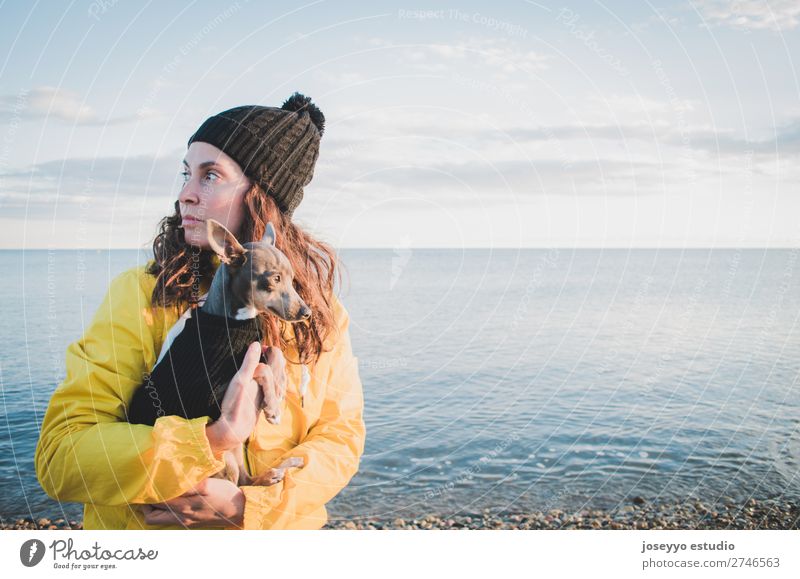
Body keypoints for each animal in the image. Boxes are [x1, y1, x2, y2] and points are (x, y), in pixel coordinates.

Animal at [127, 220, 310, 488]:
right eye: (275, 279)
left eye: (292, 279)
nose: (307, 312)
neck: (233, 322)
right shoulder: (215, 391)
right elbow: (260, 366)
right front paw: (273, 408)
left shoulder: (253, 347)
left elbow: (273, 352)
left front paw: (279, 386)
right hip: (225, 458)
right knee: (240, 483)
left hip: (233, 452)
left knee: (247, 480)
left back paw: (278, 470)